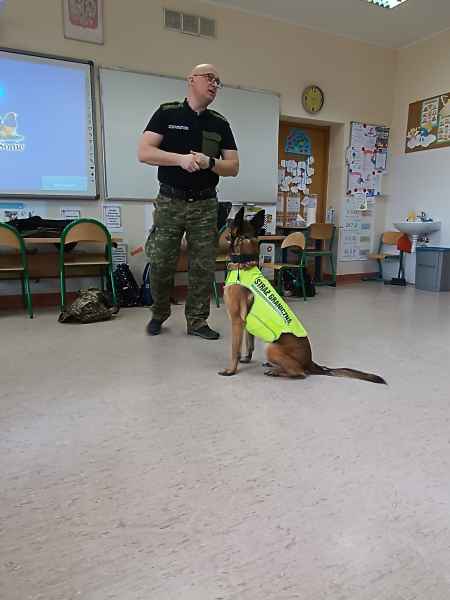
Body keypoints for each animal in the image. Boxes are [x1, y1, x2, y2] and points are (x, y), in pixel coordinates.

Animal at [219, 207, 386, 384]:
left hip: (271, 347)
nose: (225, 217)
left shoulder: (236, 321)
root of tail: (311, 362)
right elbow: (249, 344)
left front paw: (231, 370)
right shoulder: (246, 323)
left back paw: (276, 371)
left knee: (300, 373)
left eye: (231, 221)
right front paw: (247, 358)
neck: (244, 262)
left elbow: (234, 350)